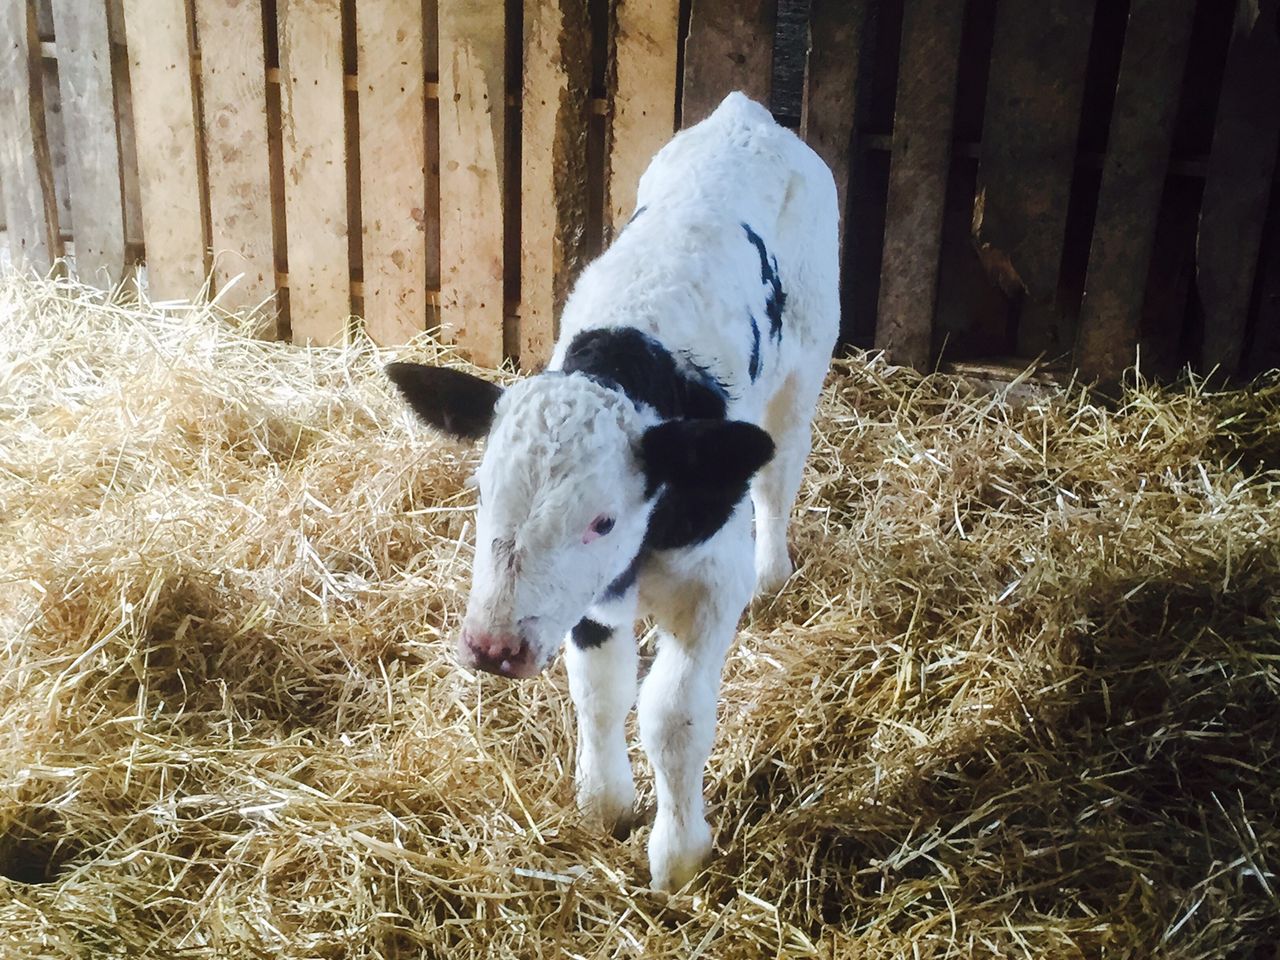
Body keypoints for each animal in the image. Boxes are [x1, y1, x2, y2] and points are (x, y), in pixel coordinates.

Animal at [387, 92, 839, 890]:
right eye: (481, 491)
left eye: (601, 520)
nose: (491, 648)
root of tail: (747, 114)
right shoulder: (591, 603)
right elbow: (601, 693)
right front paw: (606, 803)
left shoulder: (710, 584)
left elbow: (672, 717)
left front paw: (679, 854)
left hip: (809, 356)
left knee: (780, 469)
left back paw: (775, 573)